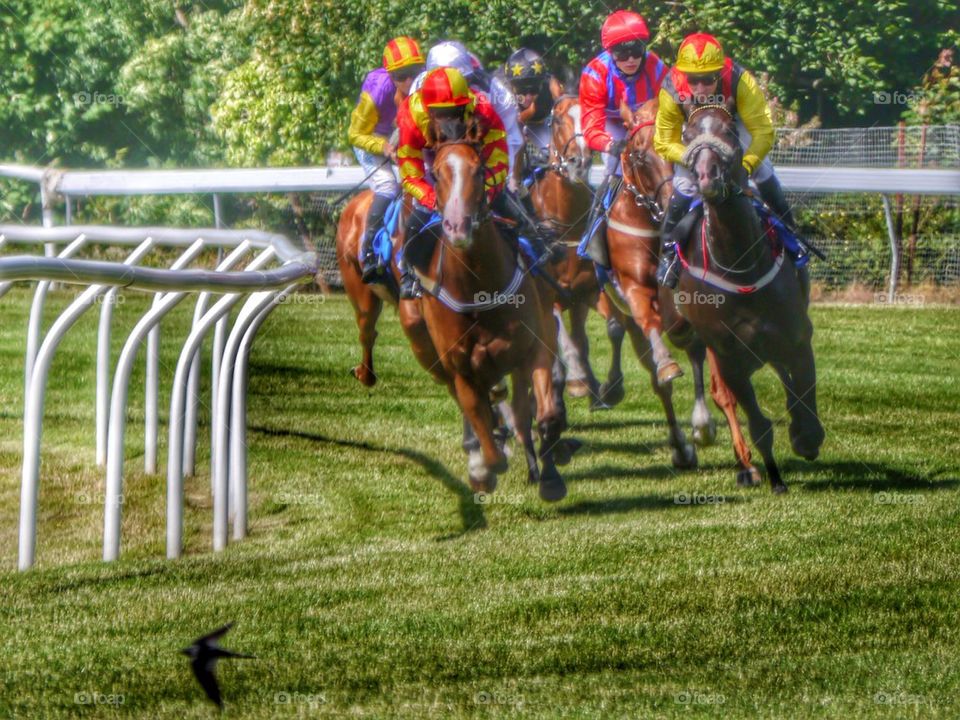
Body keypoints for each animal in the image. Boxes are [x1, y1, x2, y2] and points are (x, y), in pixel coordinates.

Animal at [676, 104, 824, 492]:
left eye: (729, 131)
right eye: (687, 135)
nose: (707, 177)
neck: (740, 264)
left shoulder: (797, 337)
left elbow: (804, 393)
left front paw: (805, 436)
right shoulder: (728, 355)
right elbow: (756, 422)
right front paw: (774, 477)